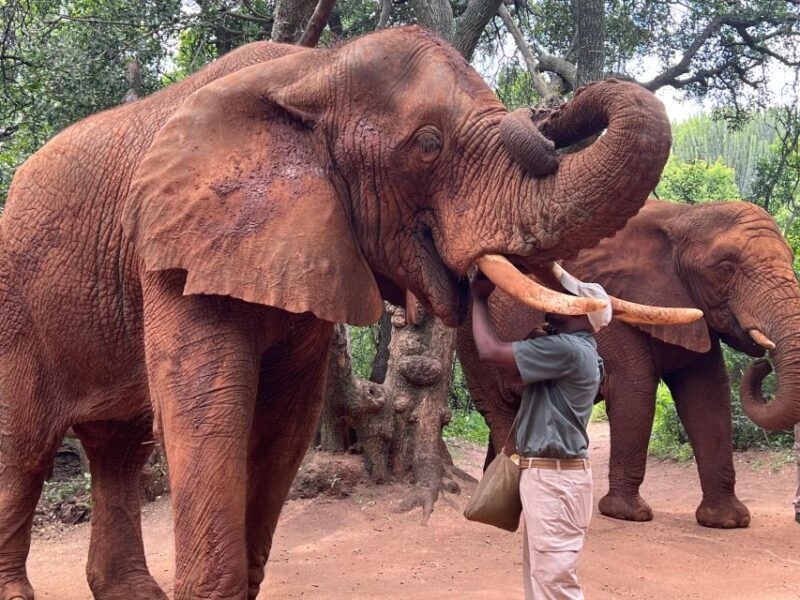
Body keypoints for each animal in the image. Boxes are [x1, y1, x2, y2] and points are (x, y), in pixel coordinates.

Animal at [0, 26, 678, 600]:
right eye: (428, 145)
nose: (549, 113)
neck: (312, 72)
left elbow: (282, 423)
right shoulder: (176, 249)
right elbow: (209, 413)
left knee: (120, 451)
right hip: (17, 304)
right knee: (26, 448)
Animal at [457, 199, 800, 530]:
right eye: (726, 268)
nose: (763, 363)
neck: (684, 216)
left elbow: (708, 397)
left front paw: (728, 522)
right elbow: (635, 390)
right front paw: (626, 514)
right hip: (471, 350)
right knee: (501, 412)